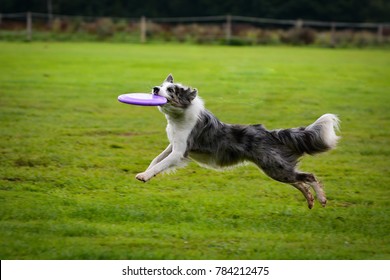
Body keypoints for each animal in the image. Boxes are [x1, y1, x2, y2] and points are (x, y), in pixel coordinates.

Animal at [136, 74, 340, 208]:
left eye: (170, 90)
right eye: (161, 85)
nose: (155, 89)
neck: (178, 117)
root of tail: (270, 133)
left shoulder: (180, 152)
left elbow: (161, 164)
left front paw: (144, 176)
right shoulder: (173, 145)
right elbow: (156, 159)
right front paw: (146, 172)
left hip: (274, 166)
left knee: (308, 177)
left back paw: (321, 199)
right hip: (276, 169)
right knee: (299, 181)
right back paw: (310, 199)